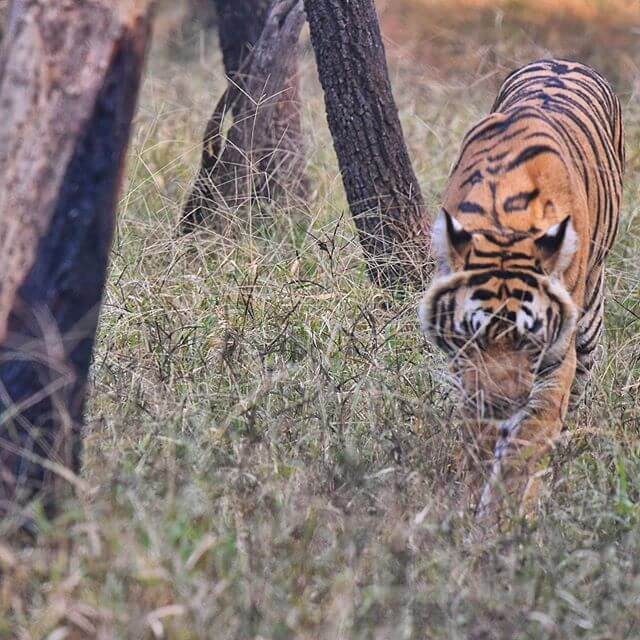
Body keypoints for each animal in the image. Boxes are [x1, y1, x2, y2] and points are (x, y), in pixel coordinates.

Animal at [418, 60, 624, 516]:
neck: (504, 224)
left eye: (528, 340)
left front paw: (503, 519)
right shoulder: (466, 368)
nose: (501, 406)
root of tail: (564, 60)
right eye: (473, 336)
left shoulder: (555, 358)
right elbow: (480, 437)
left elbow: (527, 443)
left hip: (589, 325)